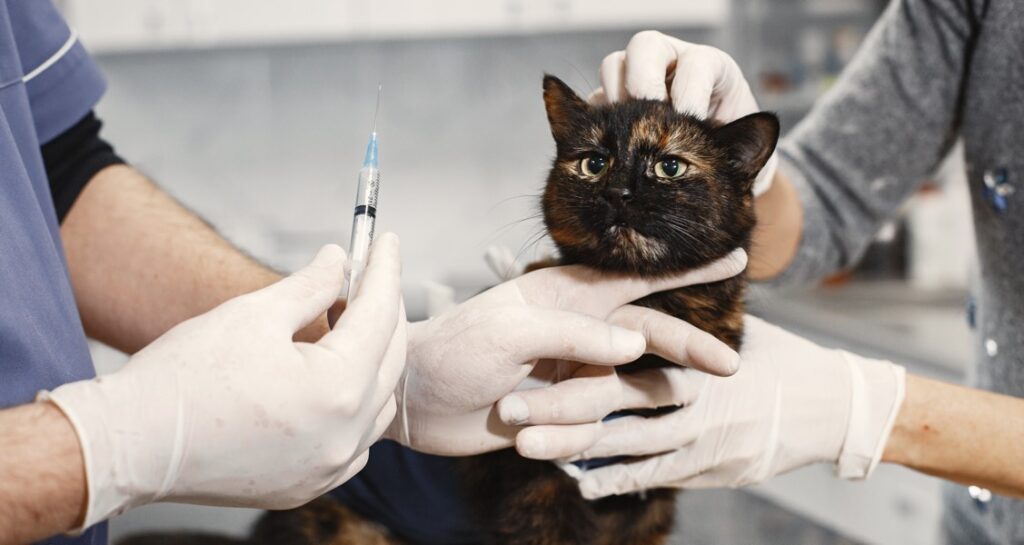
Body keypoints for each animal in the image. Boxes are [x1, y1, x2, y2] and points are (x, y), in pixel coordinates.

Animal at [117, 75, 774, 545]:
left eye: (669, 166)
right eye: (594, 162)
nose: (619, 192)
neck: (651, 307)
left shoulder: (645, 508)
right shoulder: (538, 493)